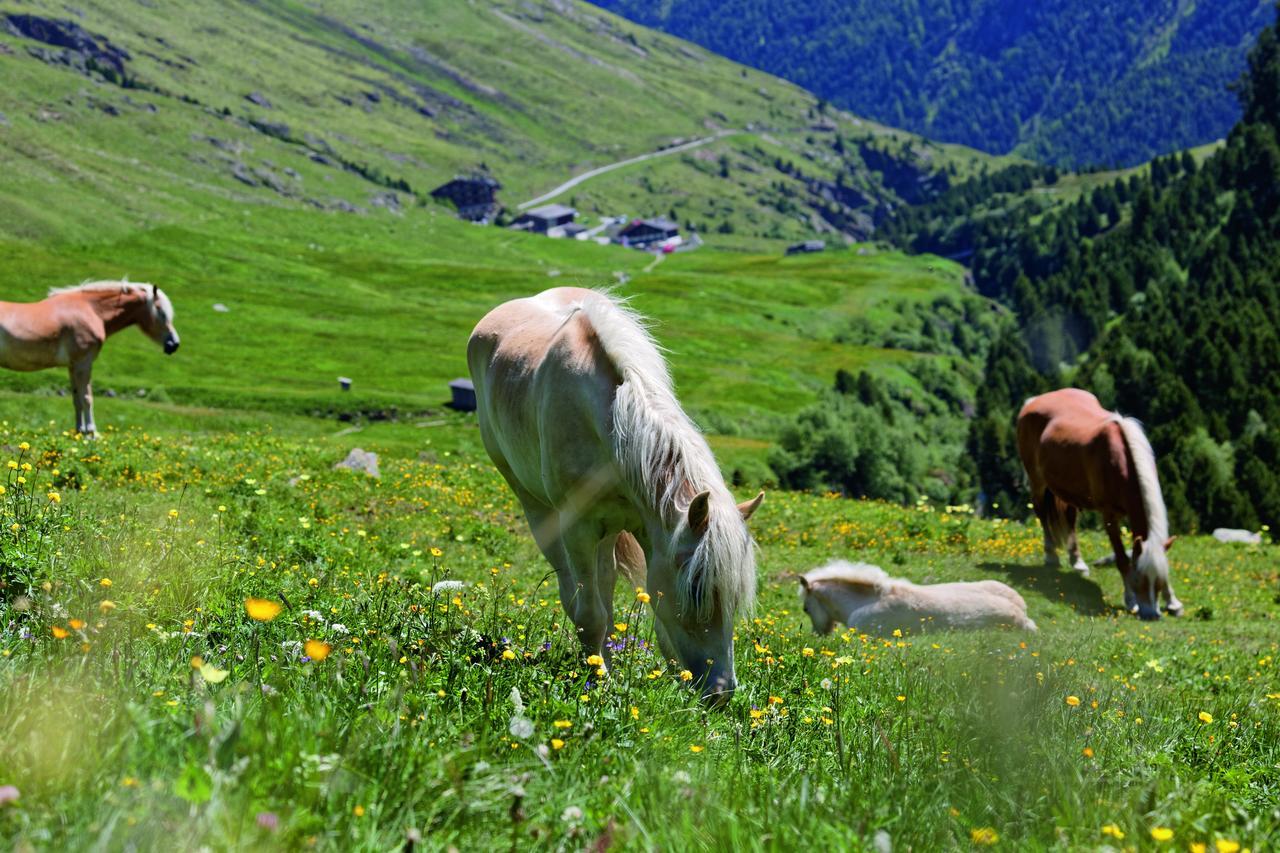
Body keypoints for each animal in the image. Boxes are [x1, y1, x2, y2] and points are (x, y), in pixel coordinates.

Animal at [0, 281, 180, 435]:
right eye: (161, 312)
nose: (174, 344)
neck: (92, 310)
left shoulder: (73, 366)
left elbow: (77, 398)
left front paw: (80, 431)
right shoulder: (83, 364)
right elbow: (87, 398)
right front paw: (92, 433)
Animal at [473, 289, 762, 701]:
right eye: (696, 591)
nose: (721, 692)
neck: (611, 424)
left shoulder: (649, 529)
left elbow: (649, 610)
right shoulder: (578, 528)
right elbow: (590, 613)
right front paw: (599, 682)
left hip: (608, 531)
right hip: (536, 507)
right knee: (574, 590)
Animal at [1013, 386, 1182, 617]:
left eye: (1159, 580)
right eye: (1139, 578)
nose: (1151, 614)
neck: (1121, 461)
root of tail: (1034, 401)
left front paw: (1173, 602)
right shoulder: (1109, 516)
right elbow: (1122, 559)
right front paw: (1130, 600)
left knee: (1070, 519)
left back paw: (1077, 562)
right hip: (1037, 481)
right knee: (1042, 514)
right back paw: (1051, 556)